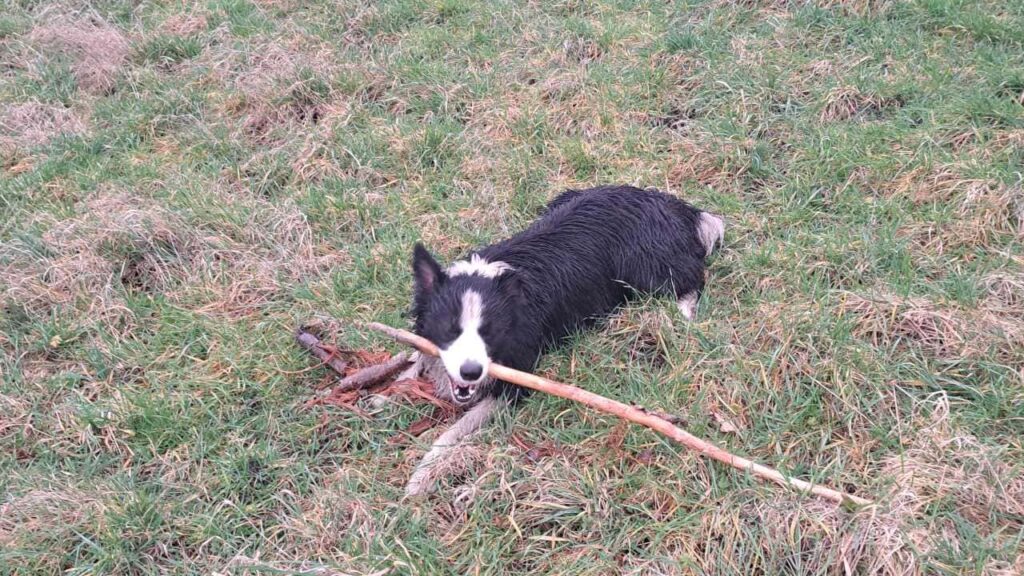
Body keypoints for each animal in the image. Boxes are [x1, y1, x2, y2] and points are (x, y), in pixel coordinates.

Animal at [395, 184, 724, 494]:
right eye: (449, 329)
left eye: (490, 331)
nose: (471, 372)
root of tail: (676, 206)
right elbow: (410, 366)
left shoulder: (517, 381)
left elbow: (453, 430)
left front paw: (422, 475)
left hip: (643, 270)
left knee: (693, 279)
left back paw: (680, 315)